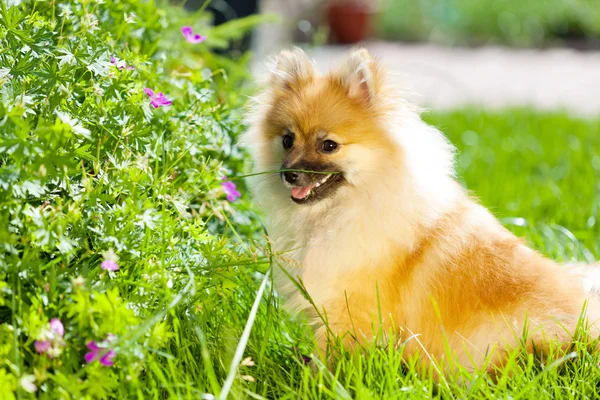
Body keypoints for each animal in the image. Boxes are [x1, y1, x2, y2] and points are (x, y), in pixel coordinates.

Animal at [244, 48, 600, 374]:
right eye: (287, 140)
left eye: (328, 145)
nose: (289, 174)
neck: (343, 210)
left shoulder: (352, 311)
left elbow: (333, 359)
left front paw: (320, 380)